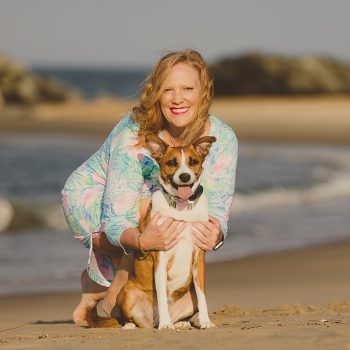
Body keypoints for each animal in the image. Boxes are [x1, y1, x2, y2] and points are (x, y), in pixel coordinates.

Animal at [87, 134, 216, 330]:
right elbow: (162, 297)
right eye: (172, 162)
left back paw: (181, 323)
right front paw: (166, 325)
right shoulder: (160, 259)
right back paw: (135, 325)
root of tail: (151, 321)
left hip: (189, 295)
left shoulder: (198, 259)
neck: (182, 207)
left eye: (193, 161)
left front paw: (205, 321)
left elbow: (202, 296)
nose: (184, 176)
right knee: (134, 319)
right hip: (127, 291)